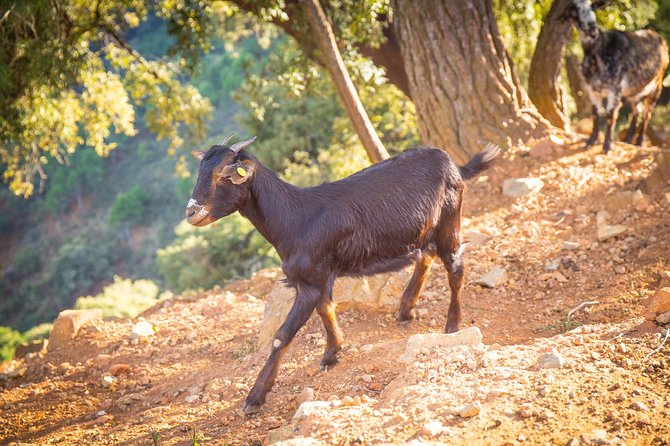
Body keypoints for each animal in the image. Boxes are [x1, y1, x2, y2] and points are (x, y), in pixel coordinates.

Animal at [186, 134, 502, 412]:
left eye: (224, 176)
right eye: (201, 173)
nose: (191, 213)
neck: (294, 218)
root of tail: (454, 164)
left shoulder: (310, 282)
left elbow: (283, 335)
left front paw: (255, 397)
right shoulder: (319, 277)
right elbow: (326, 308)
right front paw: (332, 353)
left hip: (450, 220)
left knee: (455, 267)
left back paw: (452, 325)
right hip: (424, 229)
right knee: (425, 256)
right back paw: (405, 309)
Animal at [564, 0, 668, 152]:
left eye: (592, 8)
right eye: (575, 11)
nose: (592, 29)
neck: (598, 53)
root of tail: (660, 39)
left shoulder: (615, 89)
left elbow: (610, 115)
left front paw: (607, 145)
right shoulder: (592, 89)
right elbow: (595, 113)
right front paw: (591, 141)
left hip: (656, 85)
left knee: (647, 113)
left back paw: (639, 142)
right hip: (634, 91)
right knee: (637, 110)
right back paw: (629, 139)